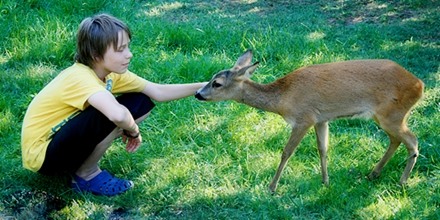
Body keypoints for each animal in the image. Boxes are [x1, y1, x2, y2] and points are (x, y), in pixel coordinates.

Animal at [195, 48, 422, 192]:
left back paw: (402, 181)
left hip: (393, 114)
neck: (283, 99)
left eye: (217, 83)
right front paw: (325, 181)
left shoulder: (304, 117)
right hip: (386, 116)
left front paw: (272, 187)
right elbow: (323, 149)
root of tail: (420, 85)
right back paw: (373, 174)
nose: (198, 94)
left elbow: (287, 152)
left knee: (412, 140)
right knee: (396, 140)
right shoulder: (321, 119)